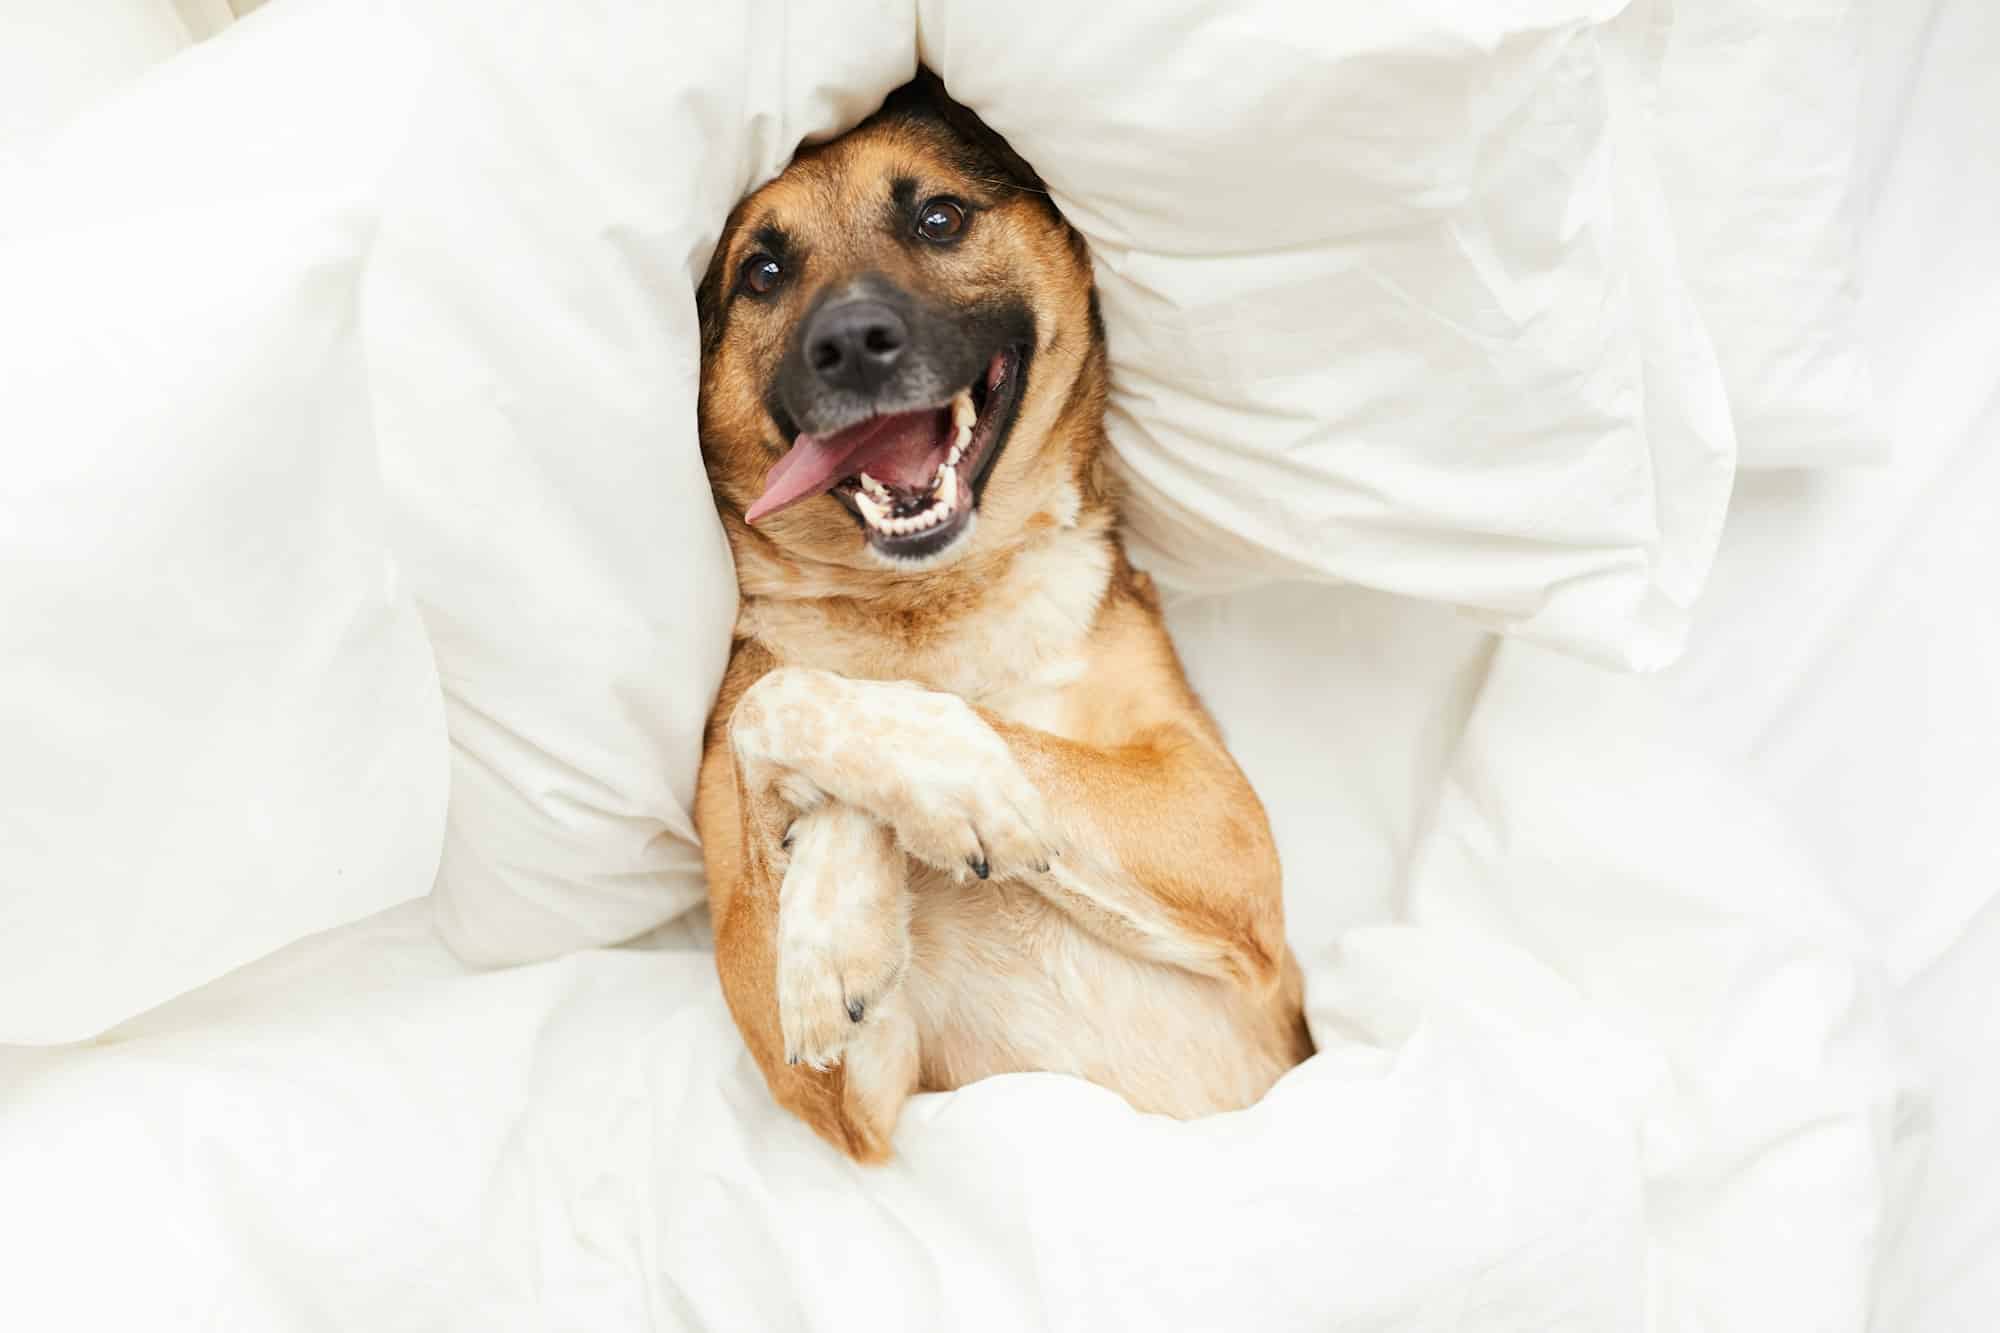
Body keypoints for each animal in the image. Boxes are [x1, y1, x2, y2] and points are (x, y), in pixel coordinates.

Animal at [688, 72, 1312, 1160]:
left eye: (938, 217)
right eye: (762, 271)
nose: (850, 345)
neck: (931, 608)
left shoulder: (1225, 834)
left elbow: (941, 723)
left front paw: (942, 793)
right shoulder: (844, 1097)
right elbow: (776, 694)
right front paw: (839, 922)